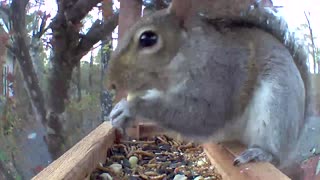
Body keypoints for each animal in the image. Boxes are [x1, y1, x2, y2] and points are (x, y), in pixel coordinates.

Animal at [106, 1, 312, 179]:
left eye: (148, 38)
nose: (112, 83)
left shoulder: (220, 79)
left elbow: (201, 115)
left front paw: (130, 109)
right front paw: (118, 112)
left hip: (278, 103)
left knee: (274, 151)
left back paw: (259, 153)